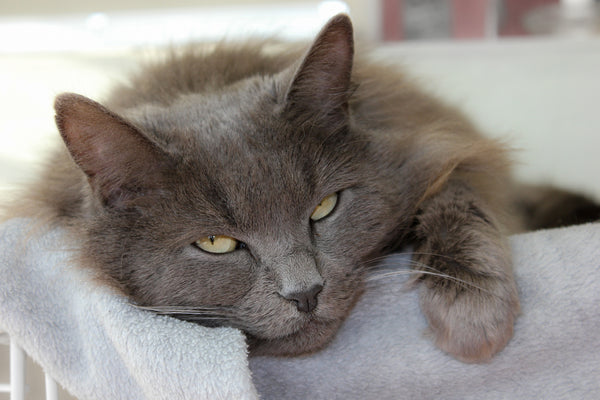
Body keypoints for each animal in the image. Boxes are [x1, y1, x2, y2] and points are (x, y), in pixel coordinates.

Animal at [5, 14, 600, 362]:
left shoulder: (436, 145)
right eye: (215, 244)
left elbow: (460, 194)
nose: (305, 293)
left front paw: (471, 312)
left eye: (324, 207)